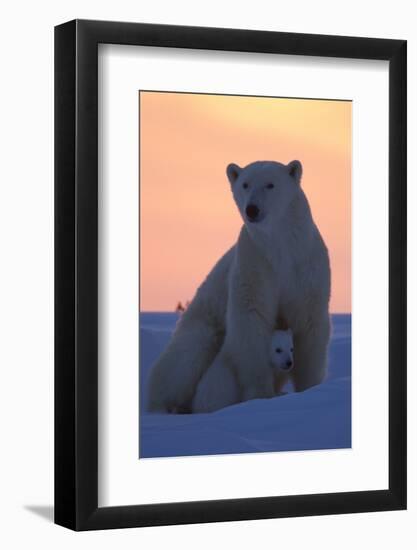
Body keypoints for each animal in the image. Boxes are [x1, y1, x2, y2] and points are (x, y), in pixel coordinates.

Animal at [148, 160, 330, 414]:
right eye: (245, 184)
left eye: (270, 184)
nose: (252, 209)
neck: (281, 247)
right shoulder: (255, 262)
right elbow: (251, 321)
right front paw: (260, 395)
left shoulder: (305, 267)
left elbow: (310, 324)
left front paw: (310, 390)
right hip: (202, 325)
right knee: (184, 360)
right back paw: (164, 406)